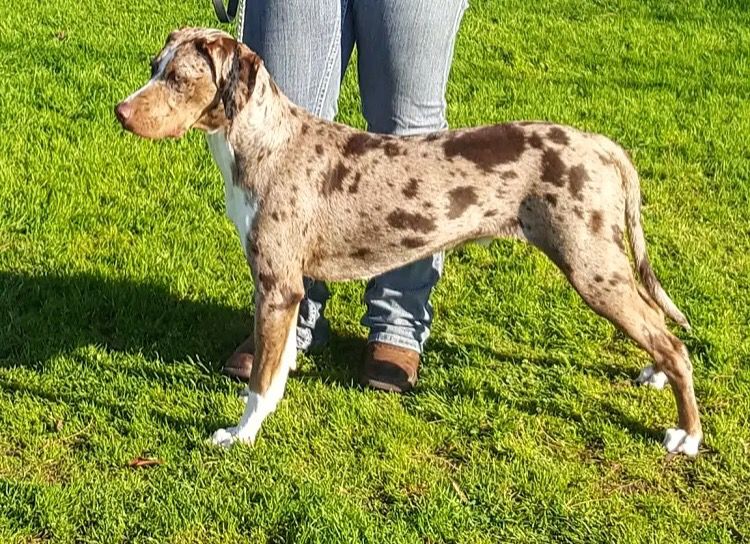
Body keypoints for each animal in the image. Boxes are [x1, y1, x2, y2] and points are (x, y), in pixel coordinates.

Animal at [114, 27, 704, 456]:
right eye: (152, 67)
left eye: (180, 78)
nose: (121, 112)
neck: (267, 145)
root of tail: (602, 144)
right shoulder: (290, 289)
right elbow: (275, 369)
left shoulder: (276, 285)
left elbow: (260, 381)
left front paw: (240, 435)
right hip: (606, 266)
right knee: (657, 323)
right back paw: (654, 373)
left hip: (592, 268)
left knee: (673, 343)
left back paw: (687, 435)